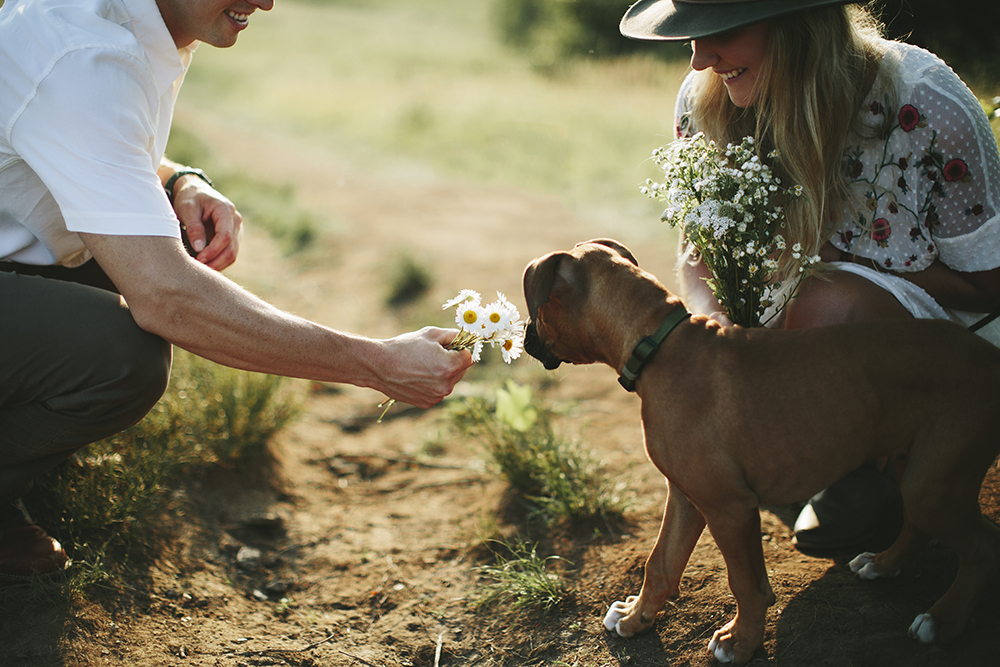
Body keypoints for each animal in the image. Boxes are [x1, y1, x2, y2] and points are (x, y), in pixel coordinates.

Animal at [524, 239, 1000, 664]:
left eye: (539, 311)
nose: (526, 338)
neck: (657, 344)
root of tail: (987, 355)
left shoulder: (730, 507)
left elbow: (746, 584)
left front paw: (741, 643)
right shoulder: (687, 496)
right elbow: (661, 563)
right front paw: (637, 618)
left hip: (934, 482)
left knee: (981, 546)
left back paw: (942, 621)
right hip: (916, 464)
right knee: (918, 523)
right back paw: (883, 564)